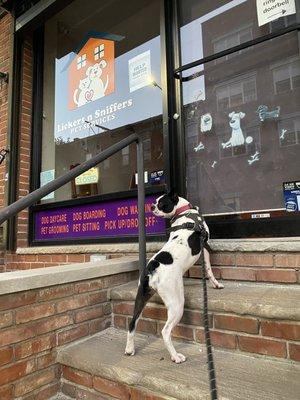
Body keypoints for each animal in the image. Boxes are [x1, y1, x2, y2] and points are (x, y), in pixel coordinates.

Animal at [124, 192, 223, 364]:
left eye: (159, 202)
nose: (151, 206)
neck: (185, 212)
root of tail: (153, 266)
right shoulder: (205, 247)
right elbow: (209, 269)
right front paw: (216, 284)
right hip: (177, 304)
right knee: (165, 331)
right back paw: (175, 356)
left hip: (141, 296)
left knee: (132, 322)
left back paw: (130, 349)